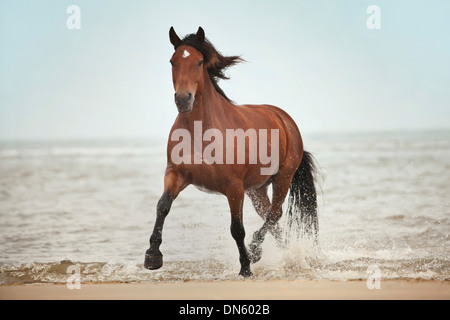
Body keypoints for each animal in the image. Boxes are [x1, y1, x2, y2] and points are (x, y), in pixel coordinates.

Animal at [143, 26, 316, 276]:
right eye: (172, 61)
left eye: (199, 62)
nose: (183, 99)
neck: (200, 132)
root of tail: (285, 119)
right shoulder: (176, 174)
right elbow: (162, 207)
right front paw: (152, 256)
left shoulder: (233, 187)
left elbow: (237, 228)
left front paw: (245, 268)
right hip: (257, 188)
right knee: (270, 216)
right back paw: (281, 253)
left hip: (283, 176)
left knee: (274, 214)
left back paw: (255, 251)